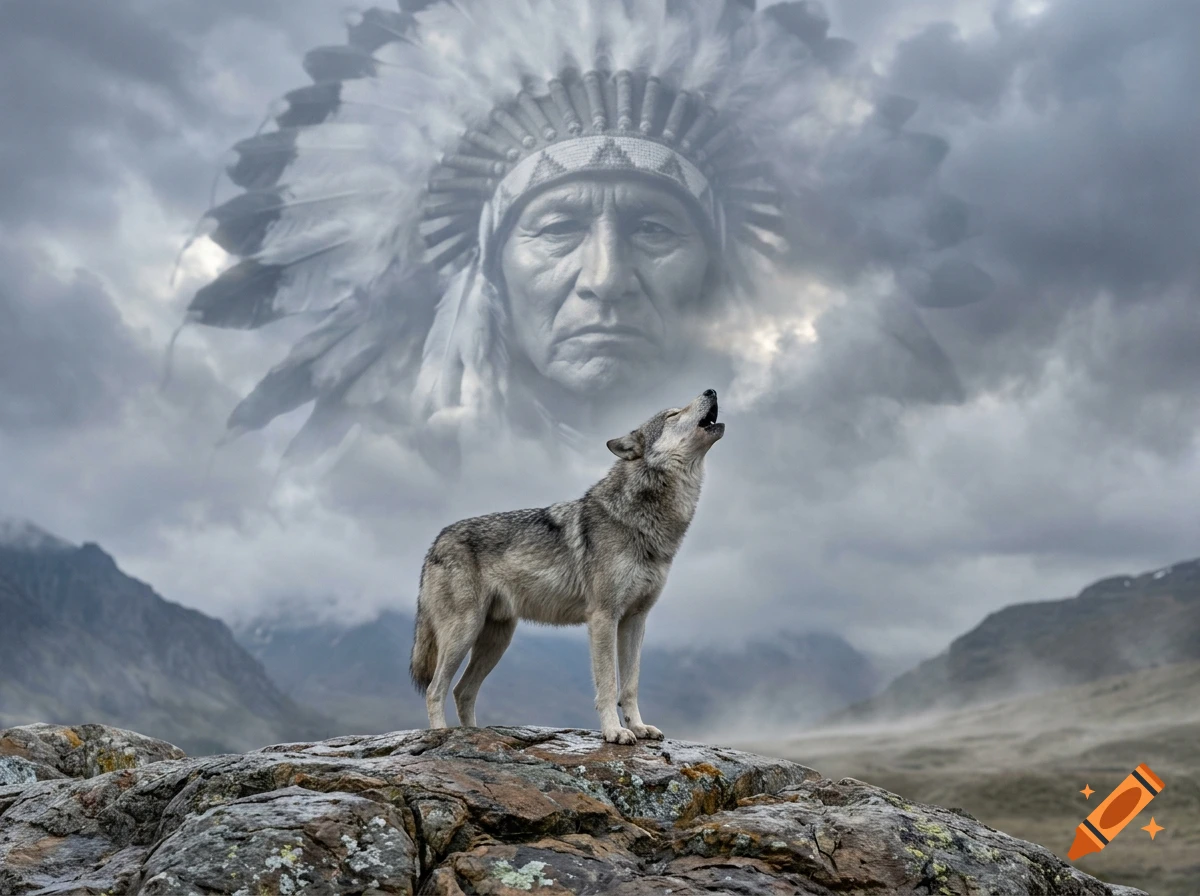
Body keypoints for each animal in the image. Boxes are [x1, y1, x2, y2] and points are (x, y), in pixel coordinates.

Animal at [409, 389, 724, 744]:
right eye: (673, 414)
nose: (711, 390)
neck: (642, 519)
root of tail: (435, 542)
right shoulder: (603, 617)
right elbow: (608, 684)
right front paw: (614, 732)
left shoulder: (635, 620)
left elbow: (630, 684)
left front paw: (638, 727)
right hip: (464, 632)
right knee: (435, 689)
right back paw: (440, 736)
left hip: (496, 640)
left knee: (462, 691)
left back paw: (474, 735)